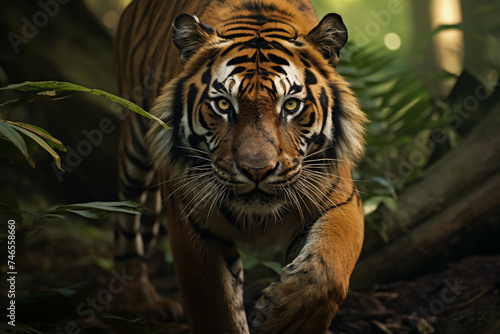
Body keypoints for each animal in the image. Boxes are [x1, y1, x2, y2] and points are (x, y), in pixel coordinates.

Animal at [111, 0, 366, 332]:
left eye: (291, 105)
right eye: (223, 104)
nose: (257, 171)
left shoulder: (341, 200)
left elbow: (328, 271)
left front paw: (287, 319)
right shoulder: (193, 226)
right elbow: (218, 311)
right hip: (135, 147)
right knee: (125, 225)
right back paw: (137, 301)